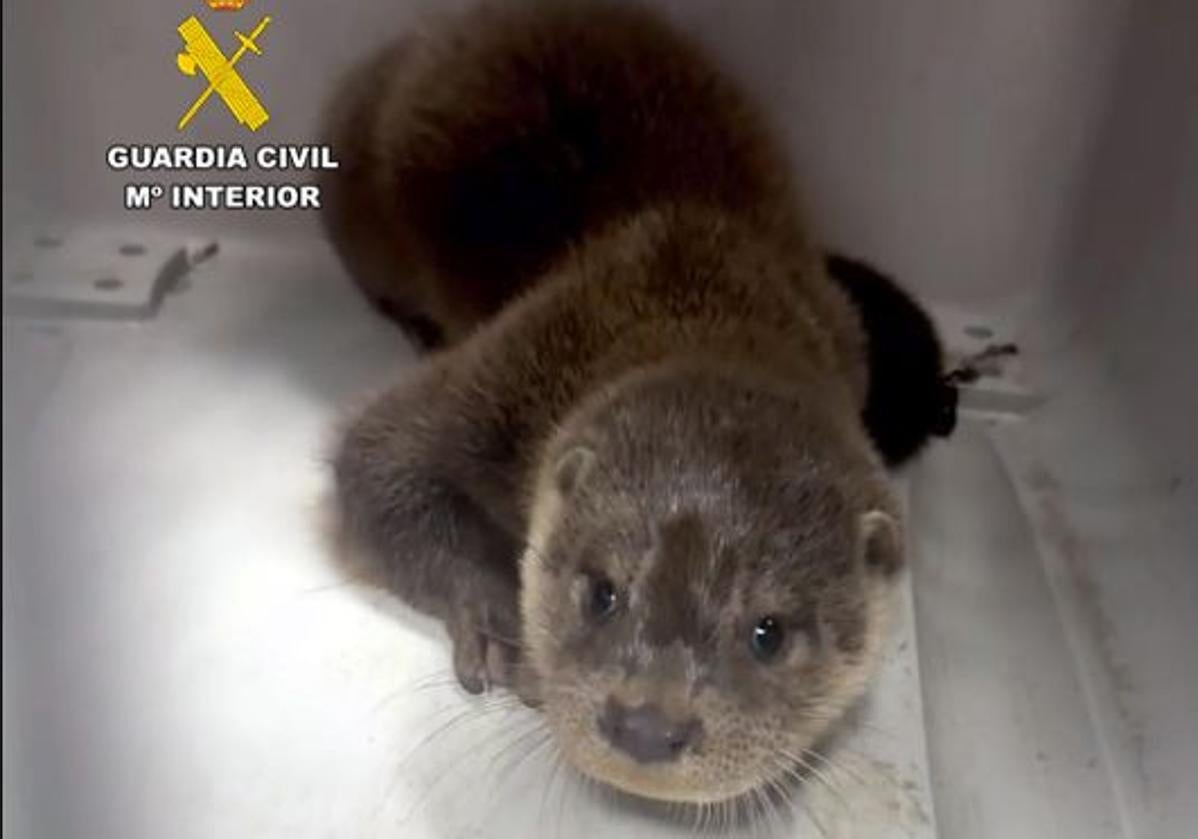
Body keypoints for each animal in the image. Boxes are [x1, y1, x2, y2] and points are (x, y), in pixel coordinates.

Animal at [321, 1, 944, 815]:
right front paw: (499, 619)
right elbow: (379, 455)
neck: (698, 294)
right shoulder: (514, 367)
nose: (647, 724)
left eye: (769, 633)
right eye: (602, 592)